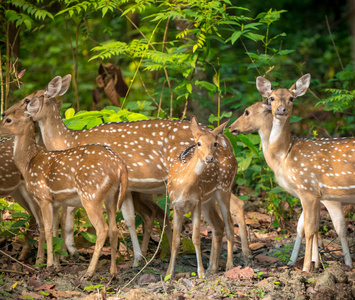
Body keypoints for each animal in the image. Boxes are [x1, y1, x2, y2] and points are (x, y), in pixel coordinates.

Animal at [0, 109, 128, 278]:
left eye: (8, 119)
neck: (29, 164)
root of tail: (120, 165)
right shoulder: (56, 203)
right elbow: (55, 230)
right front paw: (56, 266)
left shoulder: (43, 196)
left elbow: (47, 229)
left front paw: (47, 265)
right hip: (111, 197)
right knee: (114, 229)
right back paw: (113, 272)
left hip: (90, 195)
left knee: (102, 229)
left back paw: (89, 272)